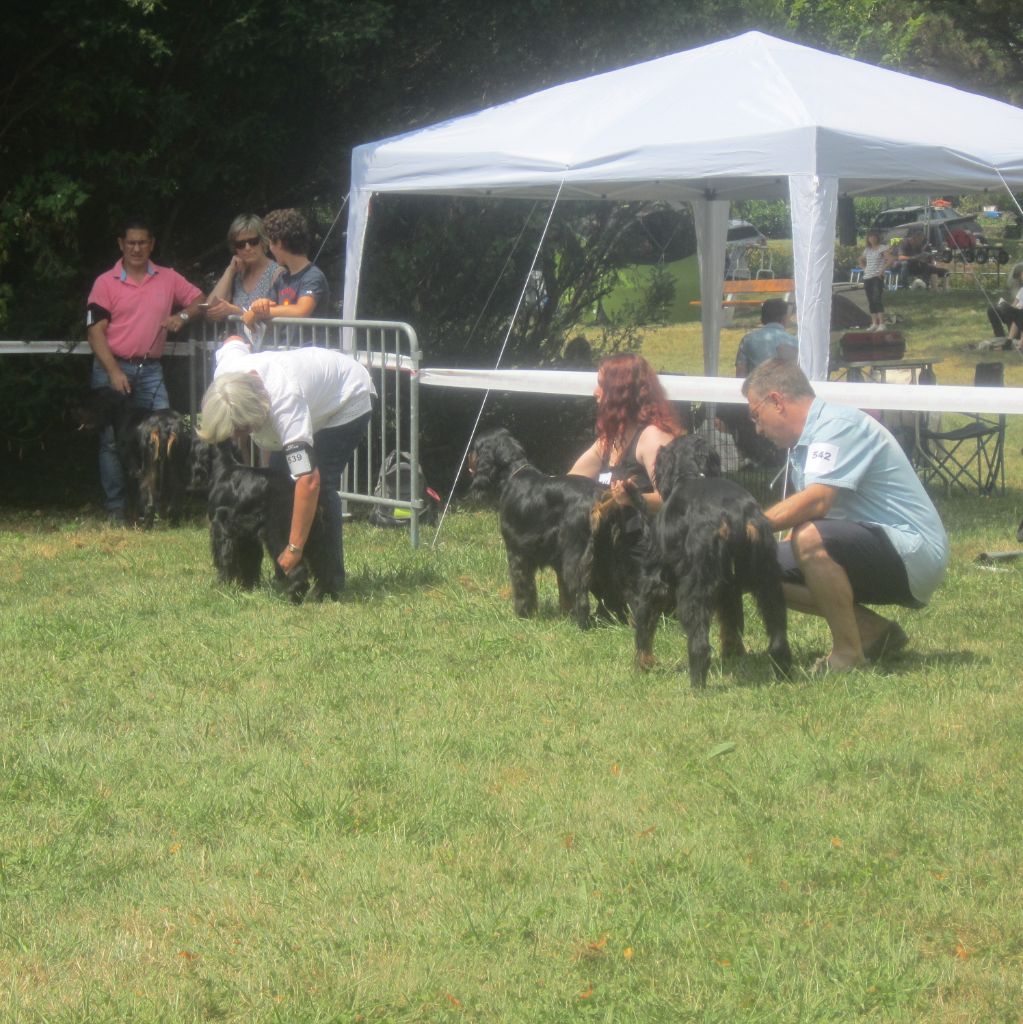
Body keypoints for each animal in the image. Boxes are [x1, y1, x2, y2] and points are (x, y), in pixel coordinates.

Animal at [75, 385, 192, 528]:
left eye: (92, 400)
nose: (76, 410)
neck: (123, 414)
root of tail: (165, 426)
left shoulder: (132, 468)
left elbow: (133, 499)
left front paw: (132, 523)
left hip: (149, 466)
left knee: (150, 501)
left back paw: (145, 526)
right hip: (174, 463)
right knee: (177, 492)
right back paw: (172, 523)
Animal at [189, 438, 339, 598]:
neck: (223, 470)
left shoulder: (221, 528)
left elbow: (224, 558)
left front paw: (222, 586)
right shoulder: (246, 534)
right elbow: (249, 561)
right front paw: (247, 587)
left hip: (281, 535)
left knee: (298, 568)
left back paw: (292, 595)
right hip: (312, 537)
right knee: (323, 565)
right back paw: (320, 594)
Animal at [469, 428, 626, 626]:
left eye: (475, 447)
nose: (469, 457)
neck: (513, 474)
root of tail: (599, 498)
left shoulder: (517, 552)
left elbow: (523, 587)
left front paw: (523, 615)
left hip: (576, 554)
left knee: (580, 591)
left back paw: (582, 624)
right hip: (607, 555)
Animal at [630, 432, 790, 688]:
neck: (692, 474)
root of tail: (734, 516)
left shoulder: (654, 577)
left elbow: (644, 622)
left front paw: (643, 665)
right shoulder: (728, 584)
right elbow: (730, 617)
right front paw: (732, 653)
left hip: (694, 587)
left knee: (699, 643)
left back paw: (696, 684)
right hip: (767, 578)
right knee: (777, 632)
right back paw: (783, 671)